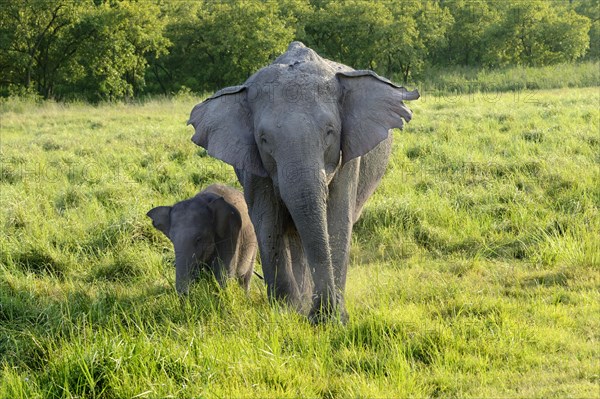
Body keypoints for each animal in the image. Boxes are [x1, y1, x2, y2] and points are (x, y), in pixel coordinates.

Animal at [188, 42, 418, 324]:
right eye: (264, 139)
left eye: (330, 132)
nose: (322, 317)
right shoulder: (252, 161)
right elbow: (267, 219)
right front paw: (285, 311)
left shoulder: (348, 156)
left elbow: (337, 219)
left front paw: (331, 319)